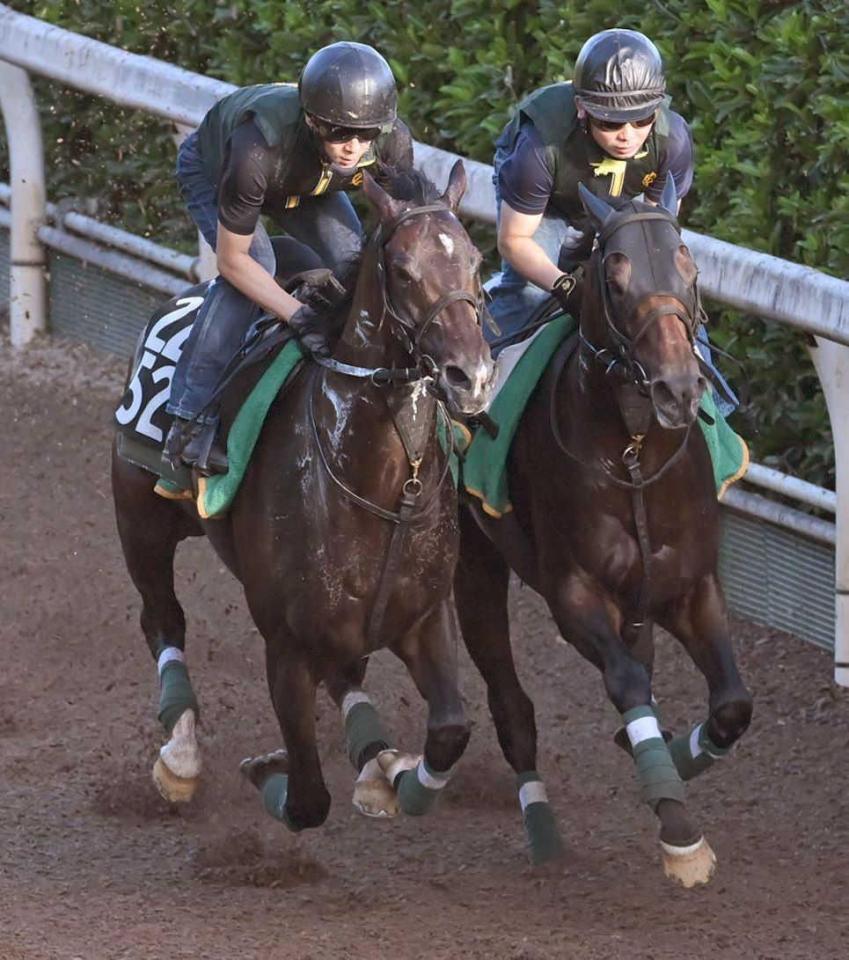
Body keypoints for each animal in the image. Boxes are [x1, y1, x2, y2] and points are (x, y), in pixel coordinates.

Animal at [112, 163, 496, 832]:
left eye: (475, 262)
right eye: (403, 271)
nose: (469, 377)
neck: (378, 482)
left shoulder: (425, 616)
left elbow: (451, 730)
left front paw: (397, 776)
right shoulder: (286, 645)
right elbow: (307, 800)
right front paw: (266, 768)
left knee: (347, 672)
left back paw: (377, 760)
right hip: (141, 522)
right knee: (162, 617)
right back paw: (181, 757)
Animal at [454, 184, 752, 888]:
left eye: (689, 268)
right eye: (613, 281)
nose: (677, 388)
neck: (635, 453)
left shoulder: (691, 586)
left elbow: (731, 703)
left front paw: (675, 755)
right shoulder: (575, 592)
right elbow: (626, 682)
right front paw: (680, 833)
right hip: (473, 561)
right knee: (511, 706)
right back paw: (542, 833)